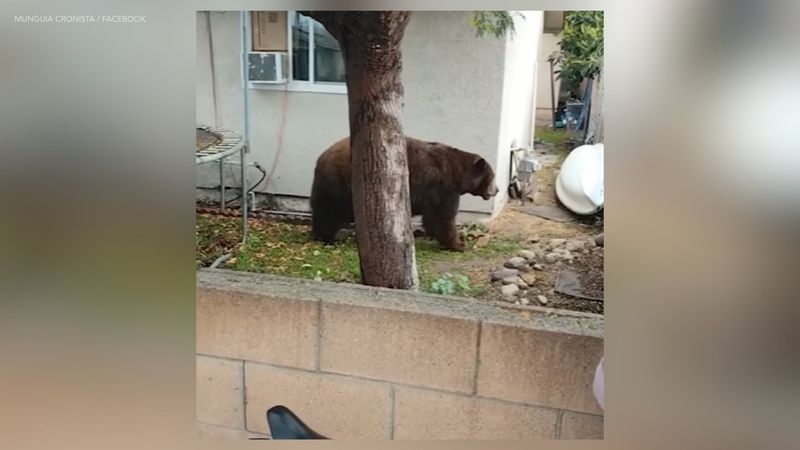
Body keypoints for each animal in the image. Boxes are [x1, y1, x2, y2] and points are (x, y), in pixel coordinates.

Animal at [309, 136, 498, 250]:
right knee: (329, 212)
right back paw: (326, 237)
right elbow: (443, 216)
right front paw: (458, 244)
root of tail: (321, 159)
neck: (457, 173)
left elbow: (432, 218)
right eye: (493, 176)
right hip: (341, 183)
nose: (496, 190)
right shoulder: (442, 188)